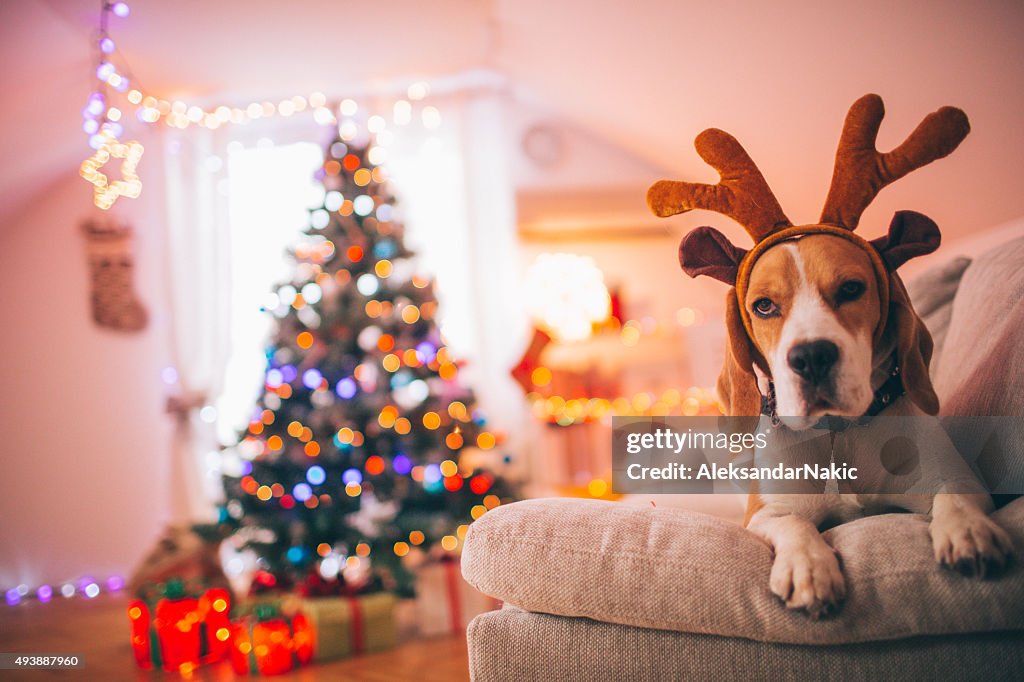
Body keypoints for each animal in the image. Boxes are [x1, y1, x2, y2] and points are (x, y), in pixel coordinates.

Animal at [651, 93, 1011, 618]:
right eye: (764, 305)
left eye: (851, 289)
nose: (812, 358)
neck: (838, 434)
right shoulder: (765, 513)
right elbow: (794, 524)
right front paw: (808, 566)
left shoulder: (953, 477)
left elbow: (956, 497)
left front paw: (968, 532)